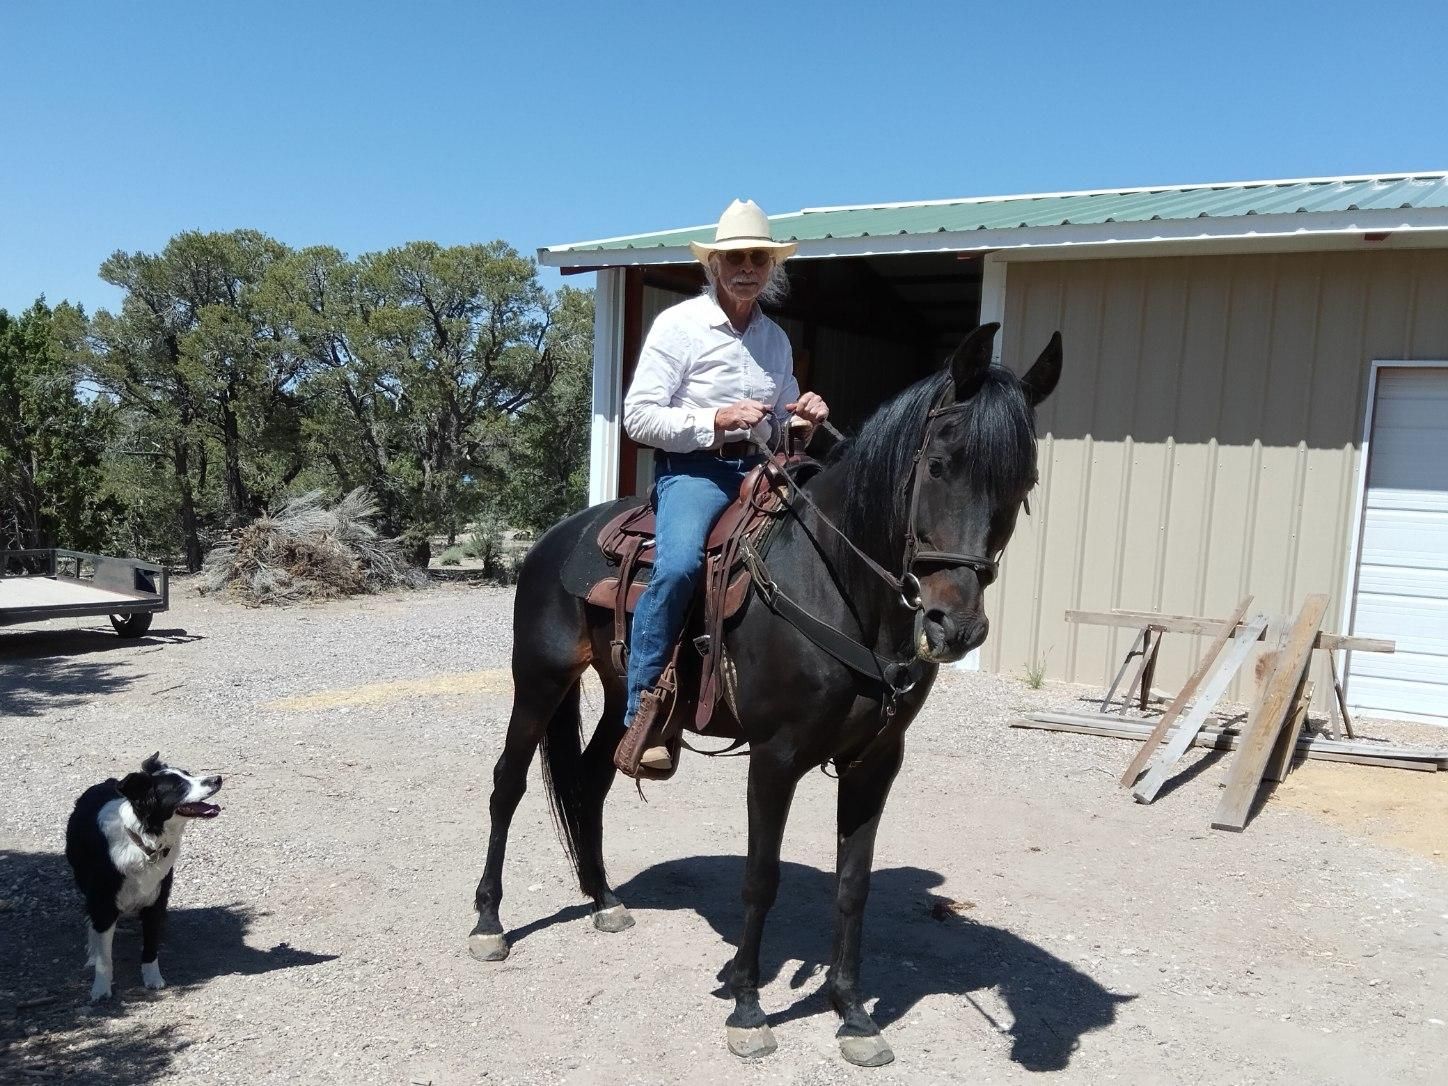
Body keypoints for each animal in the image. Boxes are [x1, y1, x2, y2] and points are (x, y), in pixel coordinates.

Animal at [468, 321, 1062, 1067]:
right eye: (938, 465)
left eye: (1024, 480)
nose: (954, 626)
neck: (836, 586)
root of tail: (555, 538)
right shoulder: (775, 758)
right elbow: (761, 879)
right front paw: (749, 1009)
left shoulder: (875, 763)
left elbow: (853, 884)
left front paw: (852, 1014)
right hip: (540, 681)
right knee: (507, 784)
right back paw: (488, 921)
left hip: (617, 691)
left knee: (593, 780)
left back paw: (603, 899)